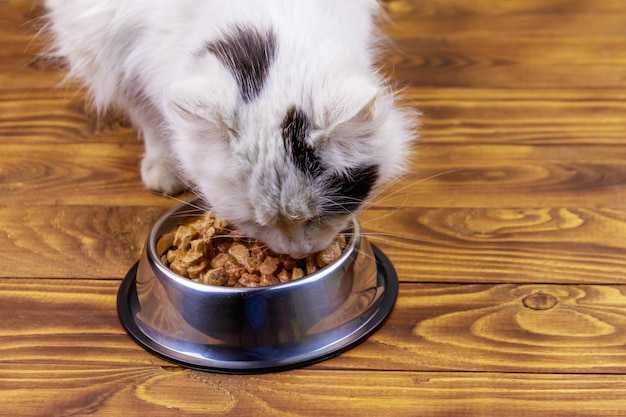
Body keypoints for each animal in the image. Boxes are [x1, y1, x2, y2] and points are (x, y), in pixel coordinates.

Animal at [44, 0, 414, 258]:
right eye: (255, 222)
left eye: (318, 217)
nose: (297, 254)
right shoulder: (117, 53)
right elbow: (149, 115)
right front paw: (164, 165)